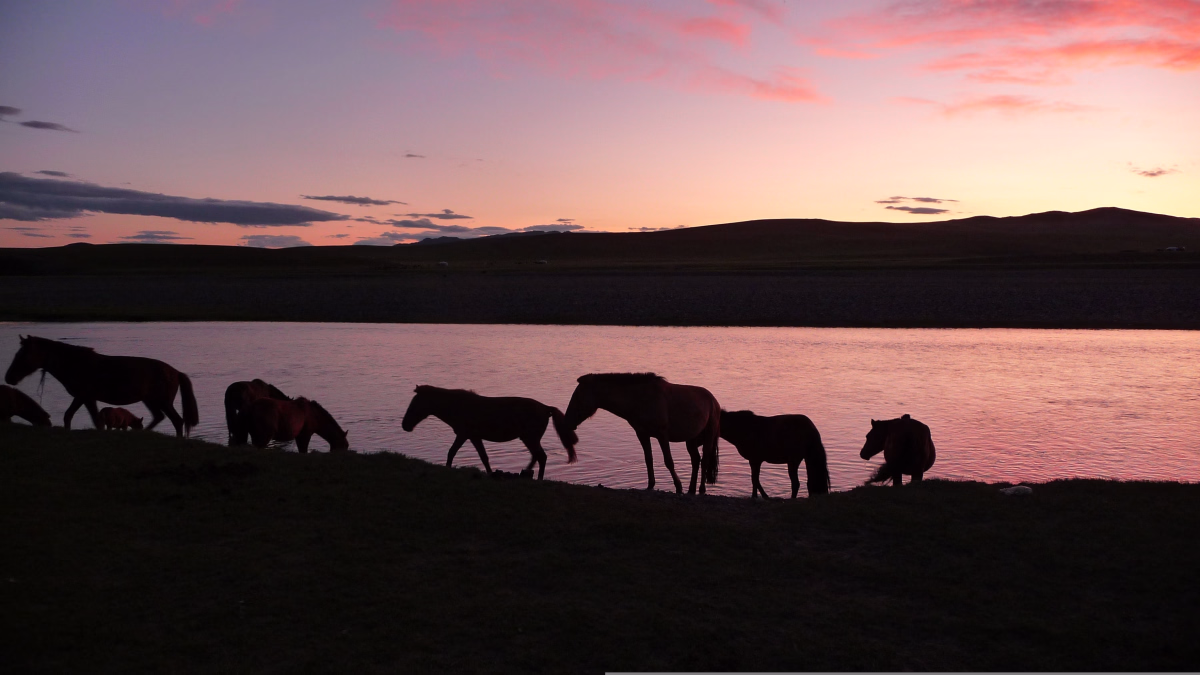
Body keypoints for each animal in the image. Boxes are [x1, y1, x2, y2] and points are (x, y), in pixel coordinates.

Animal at [4, 335, 198, 437]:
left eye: (22, 355)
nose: (8, 377)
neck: (74, 363)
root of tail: (176, 372)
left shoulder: (85, 397)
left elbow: (92, 419)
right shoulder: (83, 397)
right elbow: (73, 416)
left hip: (163, 401)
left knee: (177, 420)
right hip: (151, 401)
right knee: (159, 417)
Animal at [401, 385, 577, 480]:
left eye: (415, 403)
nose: (405, 425)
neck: (458, 405)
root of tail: (546, 408)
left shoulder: (463, 435)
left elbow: (451, 452)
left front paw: (447, 469)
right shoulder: (474, 437)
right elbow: (484, 457)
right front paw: (491, 474)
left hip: (530, 438)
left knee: (541, 457)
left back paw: (538, 478)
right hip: (529, 439)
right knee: (536, 457)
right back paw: (525, 474)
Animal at [564, 373, 719, 494]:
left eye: (577, 397)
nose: (567, 421)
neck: (640, 398)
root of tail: (713, 400)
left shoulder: (662, 435)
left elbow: (669, 461)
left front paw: (678, 486)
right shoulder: (642, 434)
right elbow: (648, 459)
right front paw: (650, 485)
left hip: (709, 436)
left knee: (704, 461)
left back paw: (701, 489)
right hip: (691, 440)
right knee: (696, 460)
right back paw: (691, 489)